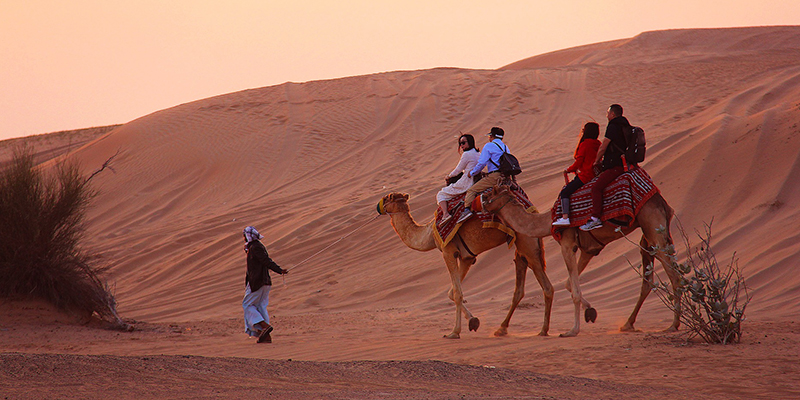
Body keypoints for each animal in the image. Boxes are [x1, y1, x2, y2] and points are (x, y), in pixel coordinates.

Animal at [378, 192, 552, 340]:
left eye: (387, 198)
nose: (378, 207)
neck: (428, 234)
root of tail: (533, 211)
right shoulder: (467, 257)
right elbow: (452, 292)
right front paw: (473, 321)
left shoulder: (448, 251)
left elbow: (456, 293)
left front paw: (454, 332)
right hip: (521, 248)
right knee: (519, 288)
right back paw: (501, 329)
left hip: (527, 243)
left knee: (546, 287)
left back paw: (543, 330)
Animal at [478, 184, 680, 338]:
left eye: (490, 193)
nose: (477, 202)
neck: (549, 221)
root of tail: (662, 201)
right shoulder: (588, 249)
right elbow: (569, 283)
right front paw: (590, 311)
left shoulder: (567, 244)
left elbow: (574, 290)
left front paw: (572, 330)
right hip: (650, 236)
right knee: (649, 279)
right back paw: (628, 324)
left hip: (652, 225)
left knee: (673, 274)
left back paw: (673, 325)